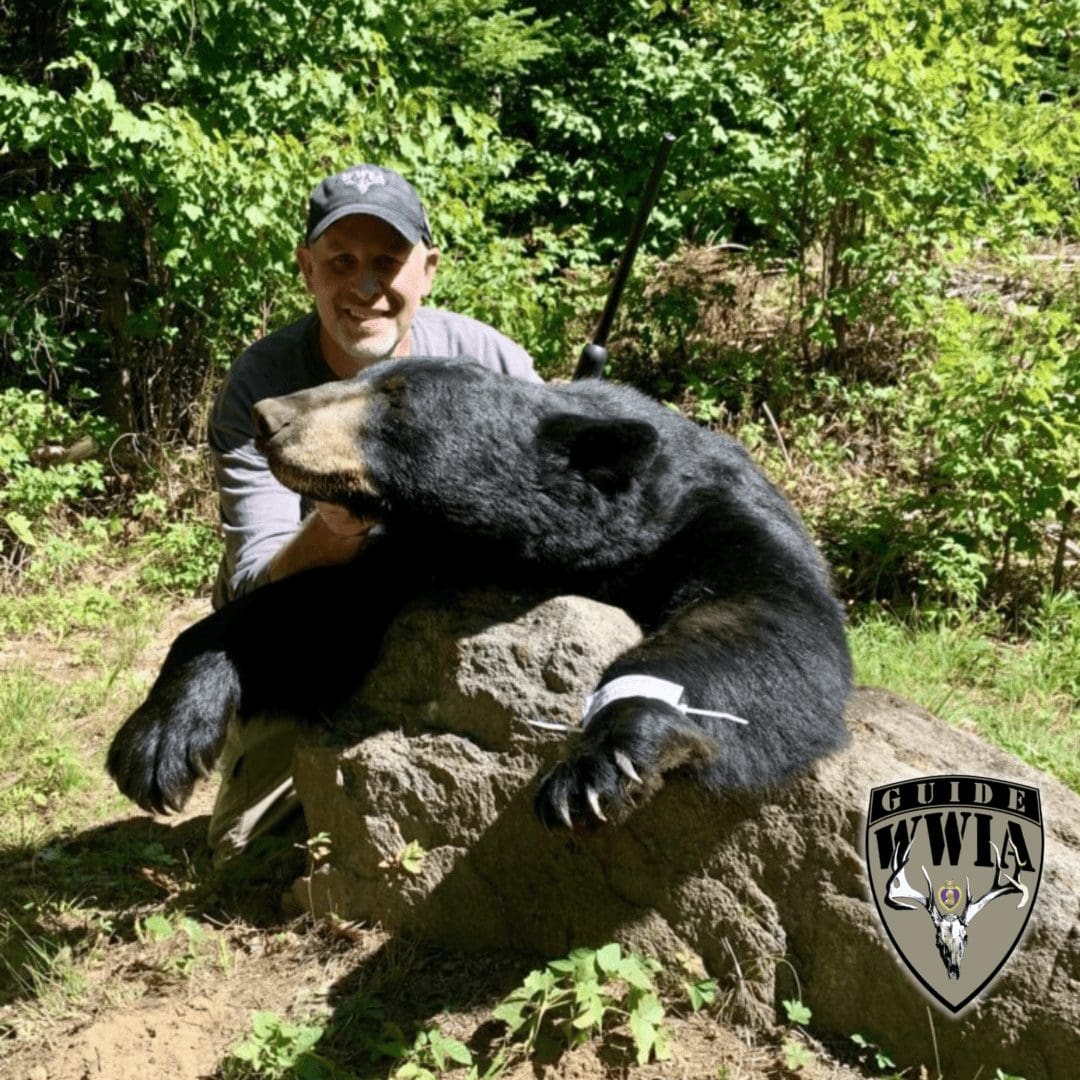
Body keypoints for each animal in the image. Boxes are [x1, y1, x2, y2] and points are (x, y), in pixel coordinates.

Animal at [107, 356, 852, 829]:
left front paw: (598, 765)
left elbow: (766, 619)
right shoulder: (412, 561)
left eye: (395, 396)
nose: (268, 415)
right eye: (359, 377)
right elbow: (311, 622)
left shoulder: (713, 518)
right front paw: (157, 741)